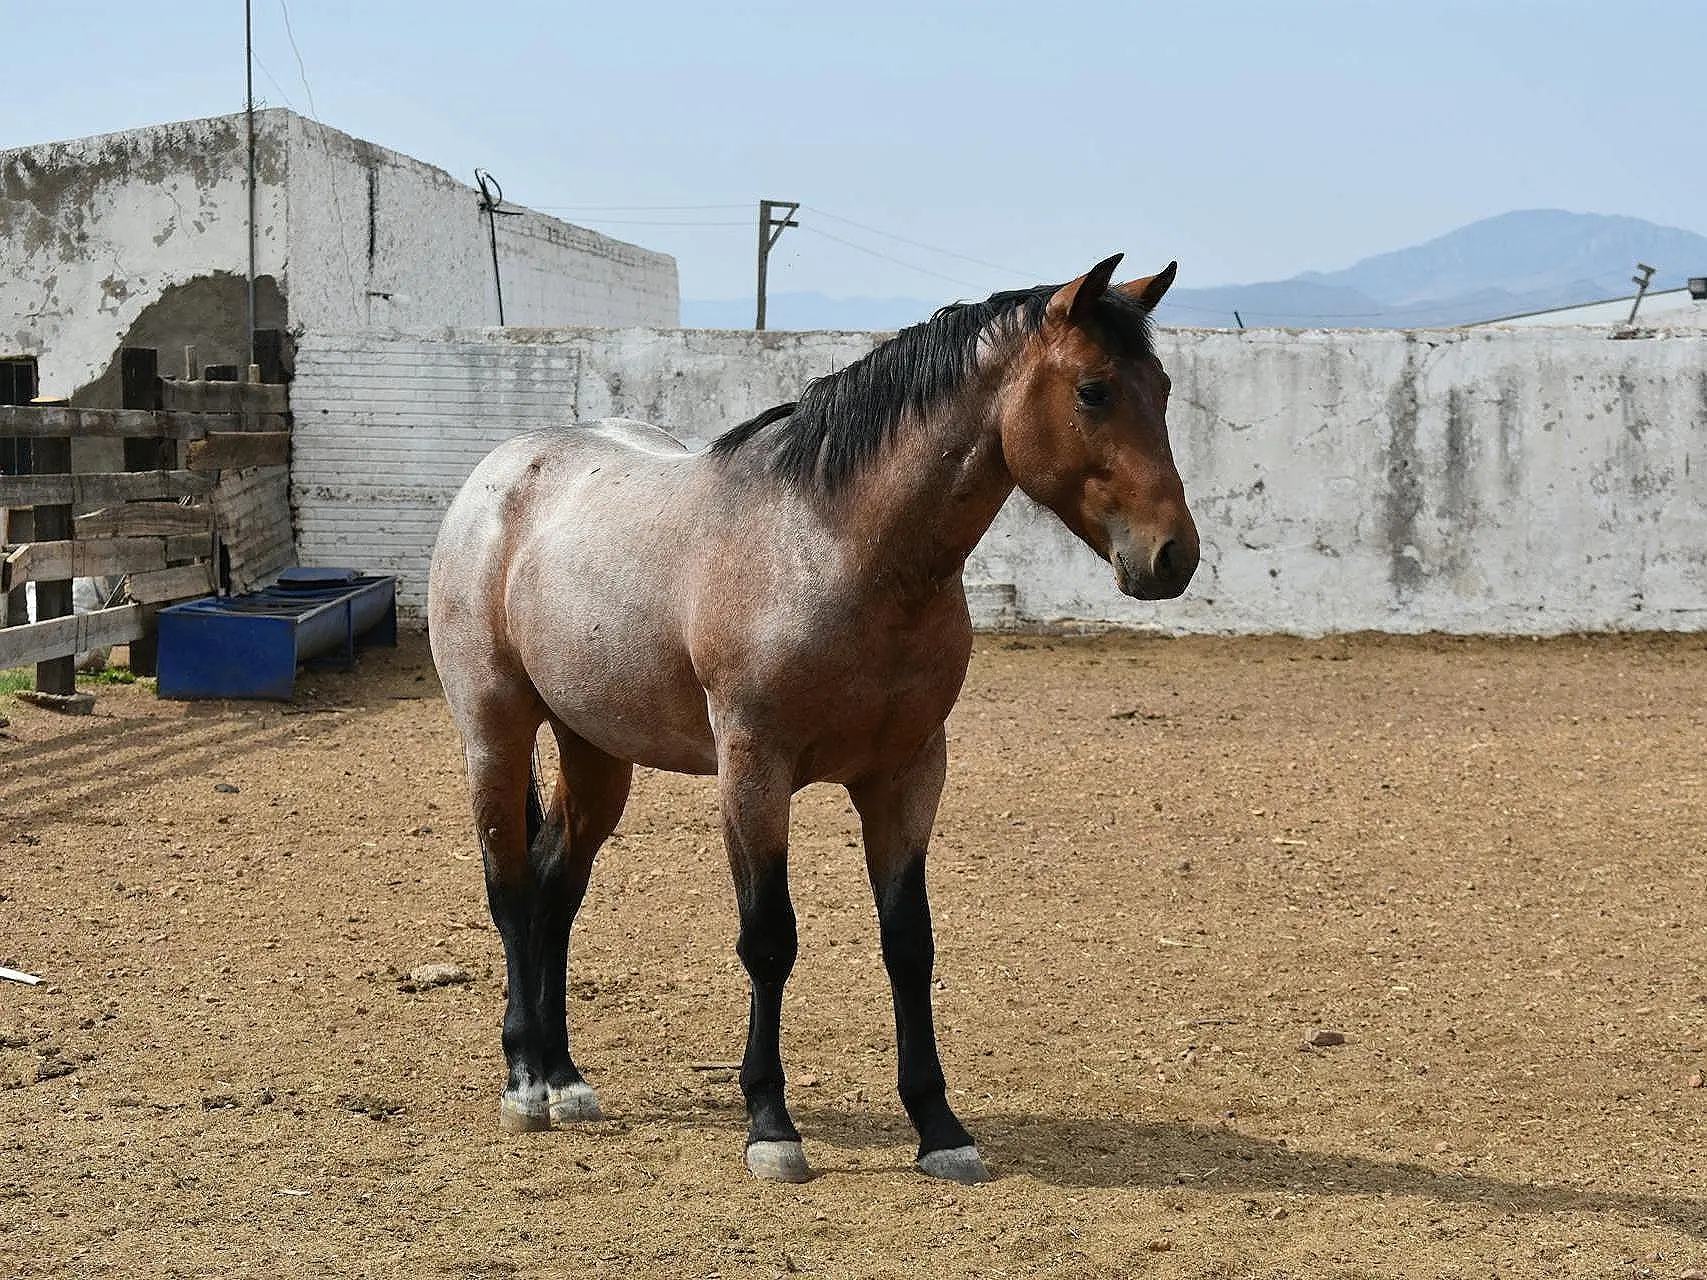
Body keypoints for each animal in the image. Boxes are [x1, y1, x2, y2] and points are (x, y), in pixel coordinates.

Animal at [426, 252, 1201, 1194]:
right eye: (1093, 390)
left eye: (1161, 388)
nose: (1172, 556)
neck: (837, 549)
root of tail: (502, 472)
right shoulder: (754, 771)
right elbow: (769, 940)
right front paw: (770, 1126)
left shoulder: (908, 774)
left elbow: (908, 944)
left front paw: (939, 1128)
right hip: (495, 733)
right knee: (509, 890)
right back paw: (525, 1082)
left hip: (597, 751)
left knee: (555, 891)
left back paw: (565, 1074)